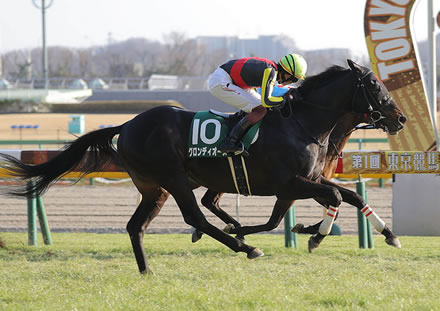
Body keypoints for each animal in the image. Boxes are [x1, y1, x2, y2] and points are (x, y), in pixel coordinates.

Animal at [0, 59, 406, 274]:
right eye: (375, 86)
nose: (400, 118)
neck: (304, 123)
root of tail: (127, 124)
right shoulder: (290, 183)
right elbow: (332, 198)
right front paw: (314, 235)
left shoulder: (307, 180)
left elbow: (351, 197)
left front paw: (389, 234)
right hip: (175, 179)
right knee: (194, 216)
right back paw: (244, 247)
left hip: (154, 188)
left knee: (136, 226)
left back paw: (147, 270)